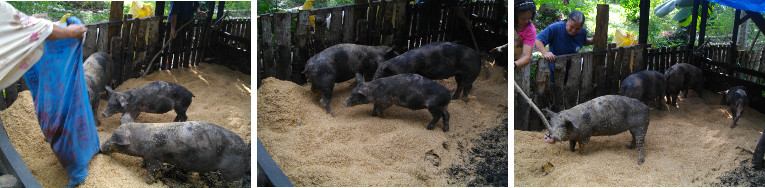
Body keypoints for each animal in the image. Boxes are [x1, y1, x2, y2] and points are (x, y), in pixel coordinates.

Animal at [100, 120, 248, 185]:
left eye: (114, 140)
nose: (101, 148)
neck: (140, 140)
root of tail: (246, 148)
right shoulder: (147, 156)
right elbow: (144, 163)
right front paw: (141, 166)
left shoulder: (155, 157)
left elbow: (152, 171)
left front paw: (148, 182)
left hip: (234, 169)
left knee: (236, 182)